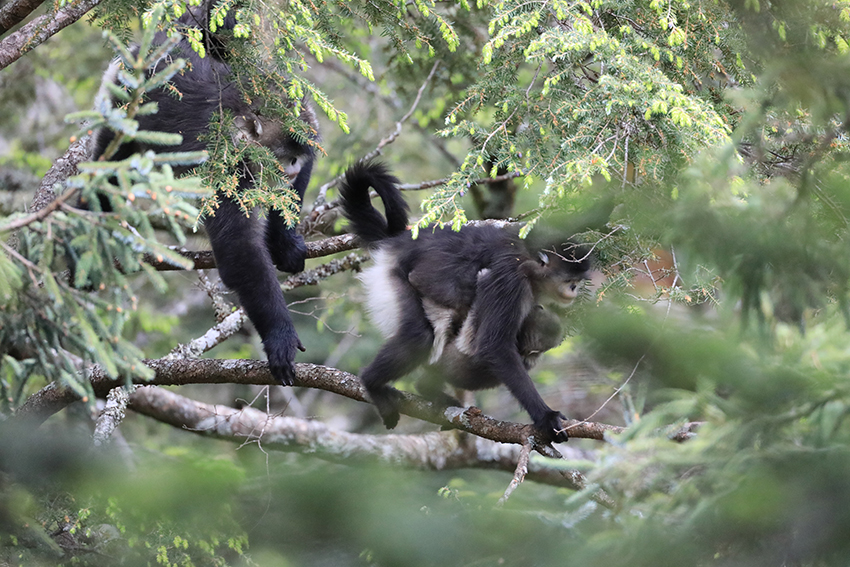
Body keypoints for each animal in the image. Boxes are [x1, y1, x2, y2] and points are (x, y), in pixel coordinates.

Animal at [86, 4, 318, 386]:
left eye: (296, 157)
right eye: (285, 156)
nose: (293, 168)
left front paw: (285, 241)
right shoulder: (226, 163)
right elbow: (239, 250)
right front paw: (279, 334)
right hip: (119, 102)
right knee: (110, 171)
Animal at [338, 160, 588, 444]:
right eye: (570, 282)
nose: (574, 292)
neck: (526, 259)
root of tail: (398, 243)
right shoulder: (509, 280)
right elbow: (494, 348)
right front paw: (546, 417)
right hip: (394, 276)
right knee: (419, 337)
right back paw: (372, 383)